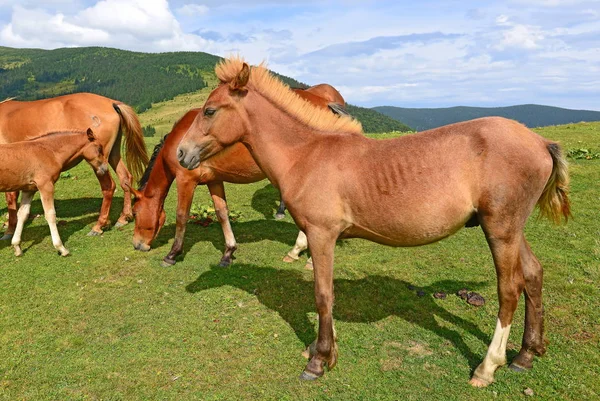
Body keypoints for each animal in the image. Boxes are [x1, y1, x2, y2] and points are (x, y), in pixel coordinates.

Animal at [0, 92, 149, 239]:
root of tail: (111, 103)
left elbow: (10, 197)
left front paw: (10, 229)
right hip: (113, 154)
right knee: (125, 178)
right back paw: (124, 217)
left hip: (99, 164)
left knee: (108, 186)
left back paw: (99, 225)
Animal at [130, 84, 346, 266]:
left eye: (135, 213)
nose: (137, 245)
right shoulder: (214, 181)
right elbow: (222, 213)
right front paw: (228, 252)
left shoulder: (186, 180)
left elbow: (181, 216)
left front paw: (172, 254)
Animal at [175, 57, 572, 386]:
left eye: (209, 111)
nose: (181, 153)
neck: (306, 154)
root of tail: (540, 142)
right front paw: (320, 350)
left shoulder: (321, 234)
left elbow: (323, 294)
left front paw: (319, 361)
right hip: (511, 229)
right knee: (533, 274)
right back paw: (526, 355)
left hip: (500, 229)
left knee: (509, 290)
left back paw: (487, 368)